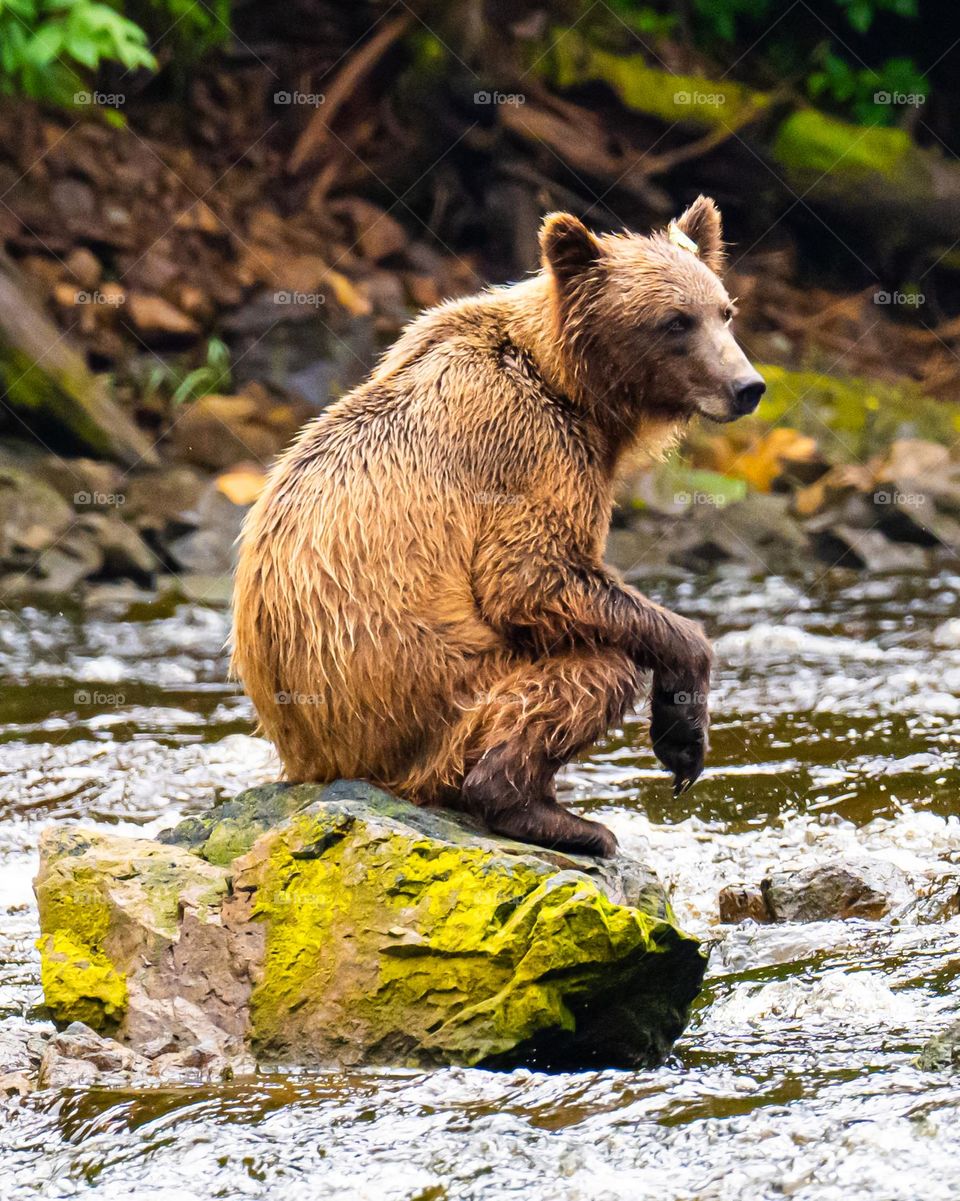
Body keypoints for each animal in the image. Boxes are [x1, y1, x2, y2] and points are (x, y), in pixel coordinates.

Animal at [231, 195, 765, 858]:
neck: (570, 386)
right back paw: (559, 818)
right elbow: (529, 577)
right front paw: (683, 727)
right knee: (591, 669)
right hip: (430, 704)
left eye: (725, 310)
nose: (747, 386)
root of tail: (308, 757)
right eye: (675, 321)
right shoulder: (532, 449)